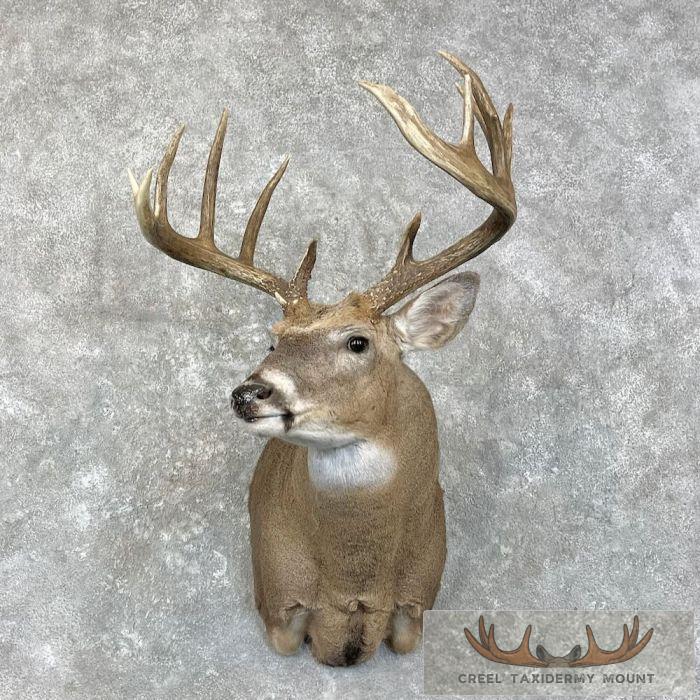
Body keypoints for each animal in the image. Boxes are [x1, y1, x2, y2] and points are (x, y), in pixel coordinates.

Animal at [128, 52, 516, 667]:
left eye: (358, 342)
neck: (354, 579)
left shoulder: (417, 602)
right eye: (273, 339)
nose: (248, 392)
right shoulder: (277, 601)